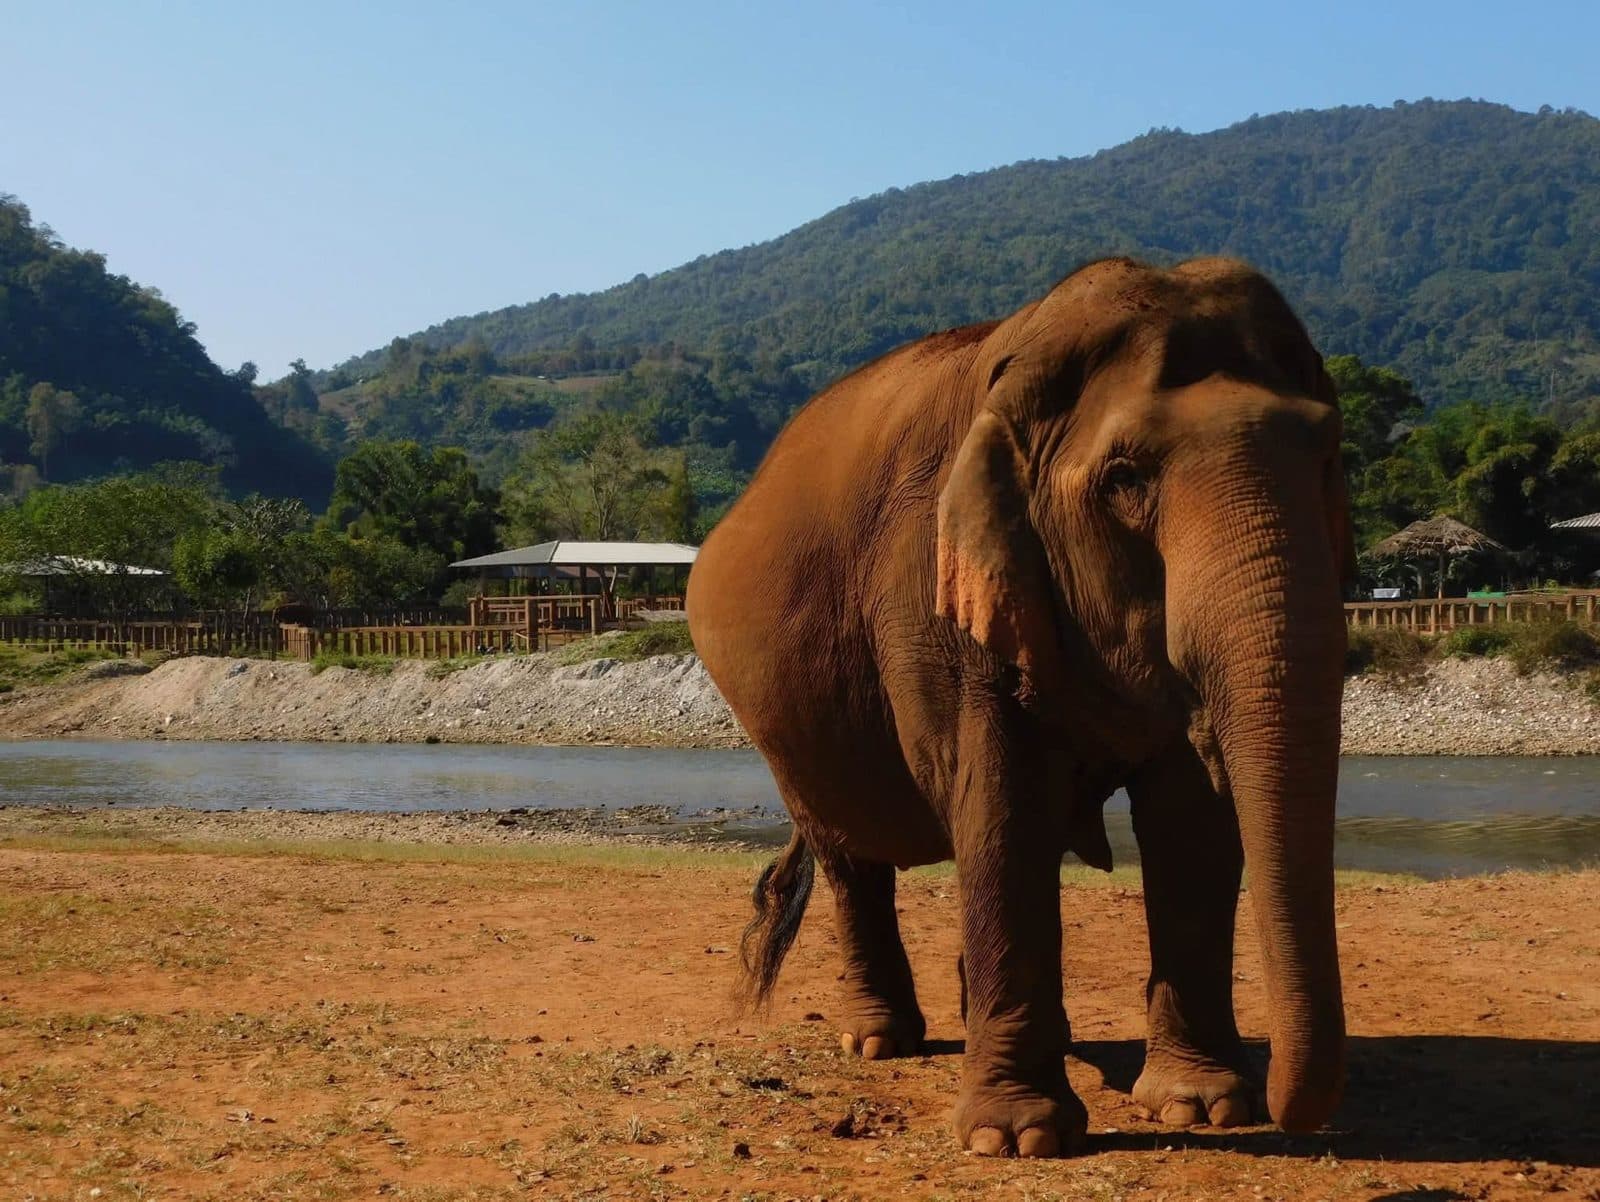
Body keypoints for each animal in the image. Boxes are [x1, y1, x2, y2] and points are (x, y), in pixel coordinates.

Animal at [687, 257, 1352, 1158]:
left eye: (1330, 460)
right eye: (1124, 479)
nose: (1290, 1108)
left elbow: (1190, 823)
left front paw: (1204, 1107)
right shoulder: (930, 591)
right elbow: (1005, 802)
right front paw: (1018, 1138)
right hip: (784, 727)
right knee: (850, 855)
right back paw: (881, 1041)